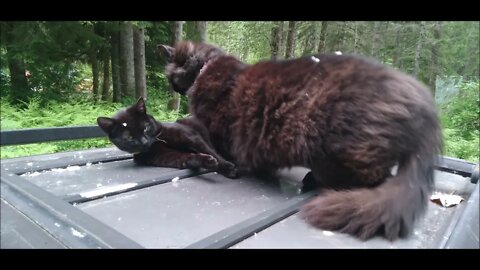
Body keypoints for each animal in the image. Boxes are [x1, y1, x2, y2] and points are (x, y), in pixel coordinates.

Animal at [98, 97, 238, 177]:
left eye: (145, 128)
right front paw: (208, 162)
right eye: (129, 138)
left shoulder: (192, 138)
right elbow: (187, 158)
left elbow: (211, 151)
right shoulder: (166, 157)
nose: (144, 141)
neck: (158, 143)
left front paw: (227, 167)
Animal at [159, 40, 444, 240]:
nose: (173, 88)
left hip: (339, 148)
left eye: (171, 77)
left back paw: (316, 183)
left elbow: (214, 145)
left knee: (372, 178)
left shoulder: (214, 130)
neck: (206, 67)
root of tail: (422, 103)